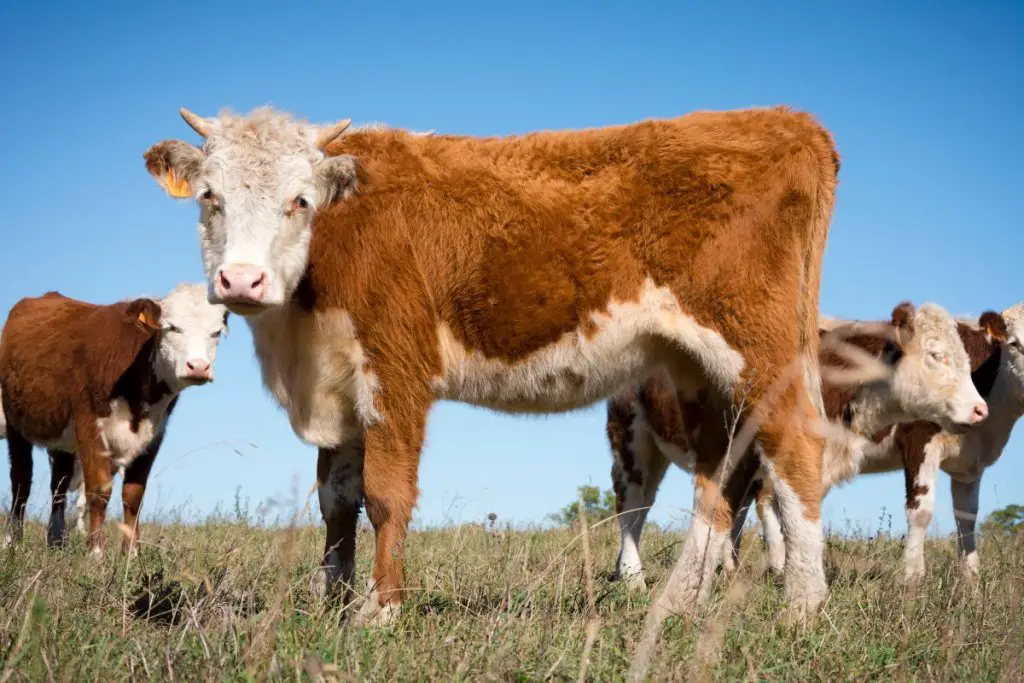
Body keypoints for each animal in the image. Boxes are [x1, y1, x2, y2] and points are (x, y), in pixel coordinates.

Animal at [0, 282, 228, 557]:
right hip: (15, 422)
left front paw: (131, 553)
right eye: (172, 327)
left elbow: (133, 495)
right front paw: (96, 552)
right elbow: (99, 490)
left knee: (59, 485)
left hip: (63, 441)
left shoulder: (154, 434)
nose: (198, 367)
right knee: (21, 481)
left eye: (216, 332)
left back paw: (56, 541)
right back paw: (12, 541)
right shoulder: (89, 425)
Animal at [142, 102, 839, 626]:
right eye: (209, 196)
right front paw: (331, 604)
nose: (241, 280)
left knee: (795, 448)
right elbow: (337, 501)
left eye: (301, 201)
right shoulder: (336, 382)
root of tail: (787, 120)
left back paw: (802, 607)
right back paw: (677, 606)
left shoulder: (396, 370)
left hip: (760, 348)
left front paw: (380, 611)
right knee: (719, 473)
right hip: (694, 368)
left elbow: (385, 495)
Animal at [602, 301, 987, 589]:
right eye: (937, 355)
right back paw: (634, 578)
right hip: (631, 438)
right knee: (630, 505)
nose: (980, 409)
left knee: (644, 507)